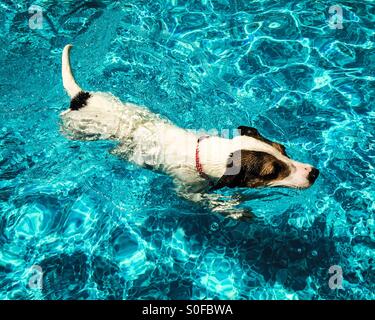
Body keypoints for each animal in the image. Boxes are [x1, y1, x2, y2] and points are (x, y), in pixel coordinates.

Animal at [60, 45, 318, 219]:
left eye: (283, 149)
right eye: (272, 171)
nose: (315, 173)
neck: (202, 153)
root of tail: (81, 98)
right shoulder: (187, 191)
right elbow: (209, 202)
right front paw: (234, 210)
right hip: (75, 129)